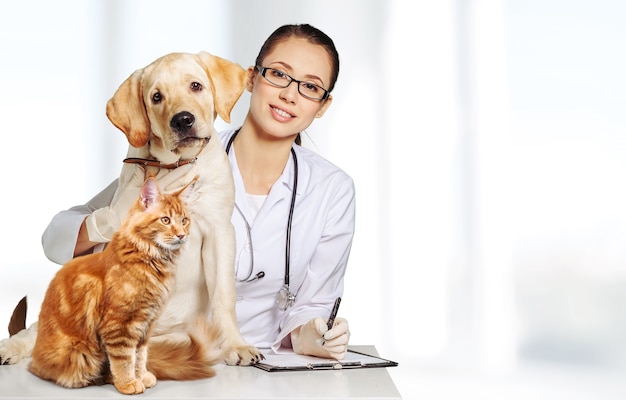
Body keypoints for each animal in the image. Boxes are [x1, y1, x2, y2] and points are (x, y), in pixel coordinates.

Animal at [0, 51, 260, 370]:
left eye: (196, 86)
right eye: (157, 97)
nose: (183, 120)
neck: (174, 166)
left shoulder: (219, 231)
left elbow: (224, 296)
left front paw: (236, 345)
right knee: (39, 327)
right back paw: (14, 346)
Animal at [29, 177, 221, 394]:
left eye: (184, 221)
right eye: (165, 220)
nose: (181, 235)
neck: (150, 260)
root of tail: (34, 360)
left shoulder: (146, 323)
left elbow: (140, 356)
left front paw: (141, 377)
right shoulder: (120, 324)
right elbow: (124, 359)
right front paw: (128, 383)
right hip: (79, 353)